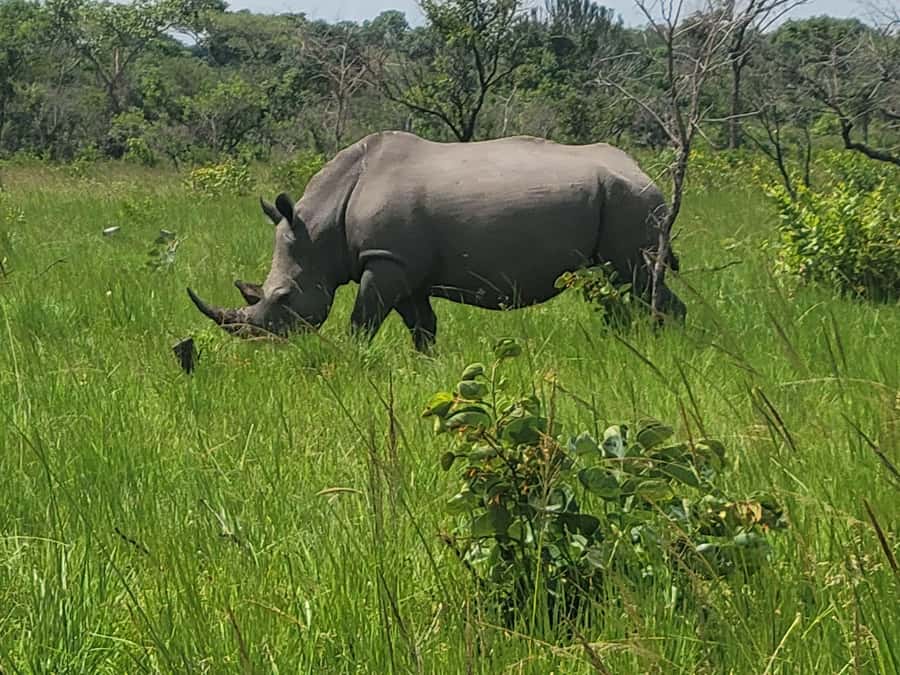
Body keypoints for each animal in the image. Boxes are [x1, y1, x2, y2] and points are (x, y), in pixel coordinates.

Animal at [187, 131, 686, 351]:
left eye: (284, 297)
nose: (262, 346)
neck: (321, 225)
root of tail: (644, 172)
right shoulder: (402, 266)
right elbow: (421, 325)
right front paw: (426, 364)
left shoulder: (385, 261)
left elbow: (362, 321)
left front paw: (352, 360)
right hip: (620, 199)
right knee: (616, 281)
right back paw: (624, 343)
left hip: (631, 201)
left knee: (637, 275)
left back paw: (665, 345)